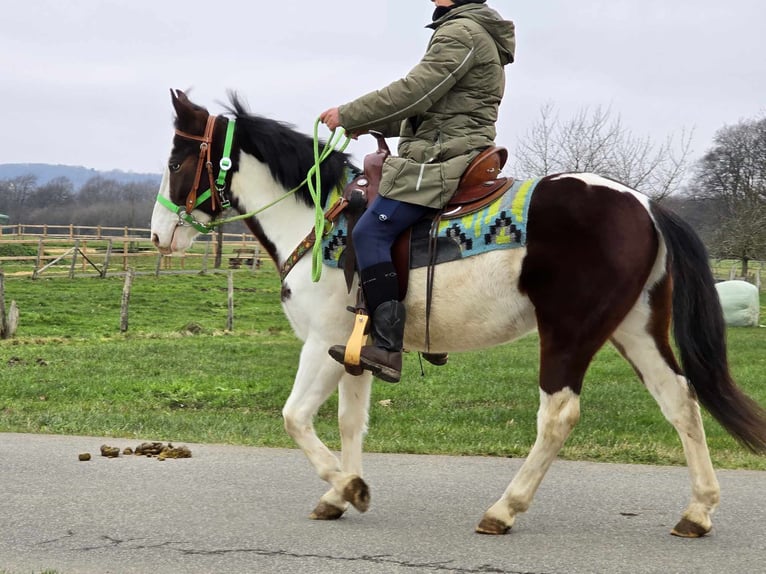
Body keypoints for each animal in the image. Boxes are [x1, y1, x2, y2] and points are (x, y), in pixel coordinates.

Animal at [150, 90, 766, 540]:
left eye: (178, 159)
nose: (158, 236)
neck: (320, 219)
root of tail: (645, 205)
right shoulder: (352, 351)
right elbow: (350, 423)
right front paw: (340, 491)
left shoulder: (321, 343)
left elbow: (295, 418)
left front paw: (350, 489)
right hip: (634, 329)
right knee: (680, 400)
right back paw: (698, 512)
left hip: (569, 334)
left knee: (558, 415)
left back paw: (504, 508)